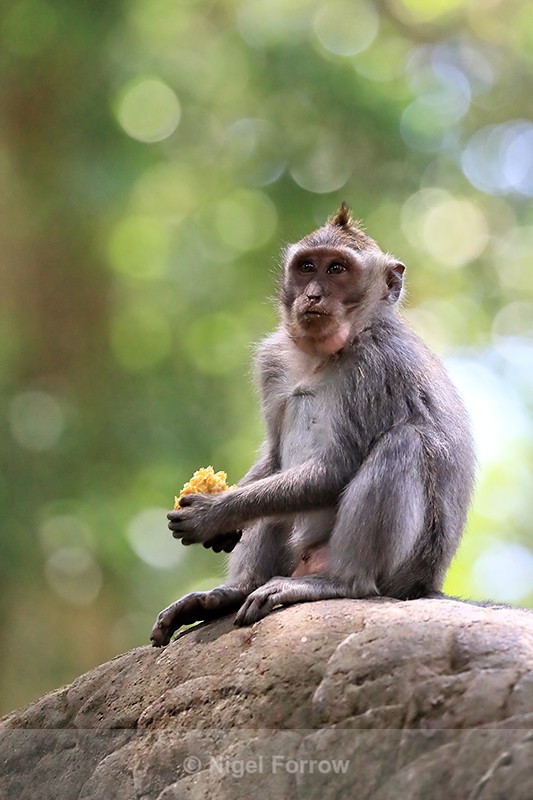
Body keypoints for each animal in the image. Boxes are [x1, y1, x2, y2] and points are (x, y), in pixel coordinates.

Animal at [150, 203, 475, 646]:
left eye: (337, 269)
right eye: (307, 267)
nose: (313, 295)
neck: (325, 354)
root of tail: (425, 585)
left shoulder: (378, 367)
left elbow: (338, 467)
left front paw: (214, 513)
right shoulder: (271, 360)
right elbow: (273, 455)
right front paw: (226, 524)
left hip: (402, 570)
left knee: (403, 443)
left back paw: (339, 582)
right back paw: (232, 592)